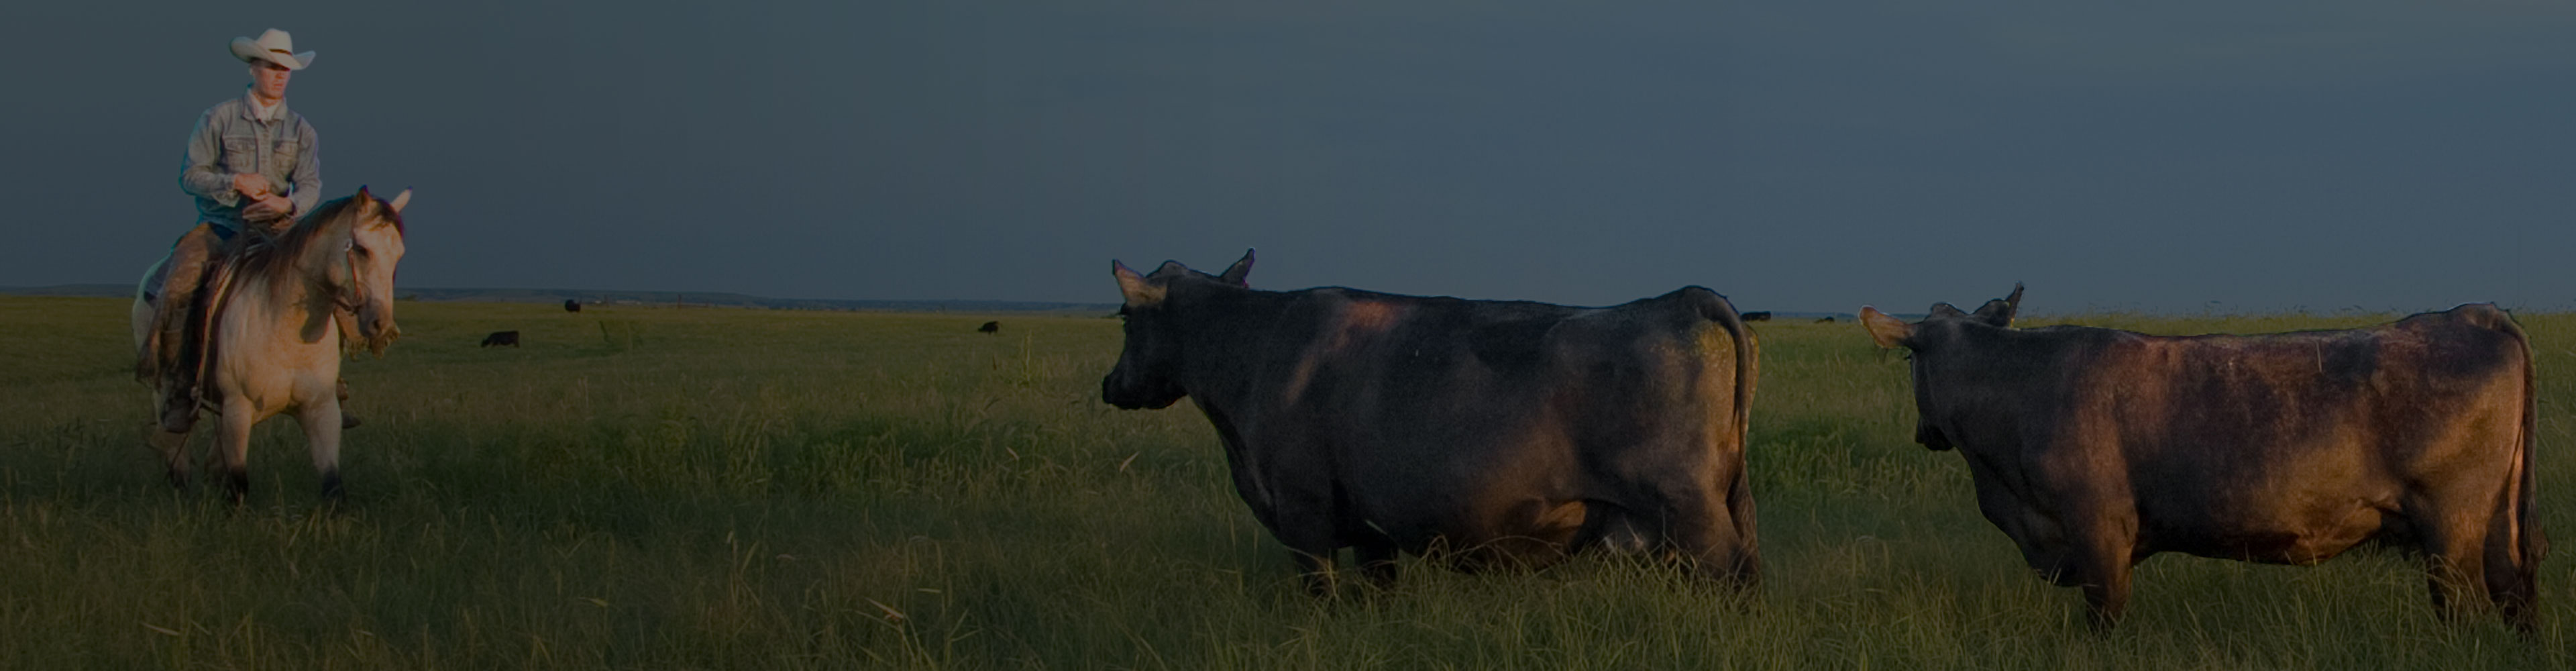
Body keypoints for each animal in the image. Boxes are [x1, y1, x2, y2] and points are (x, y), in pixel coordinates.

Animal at [1102, 250, 1760, 595]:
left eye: (1125, 317)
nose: (1111, 384)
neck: (1256, 348)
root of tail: (1679, 299)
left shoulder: (1303, 515)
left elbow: (1324, 596)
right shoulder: (1370, 528)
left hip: (1691, 510)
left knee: (1735, 577)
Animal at [1859, 285, 2542, 631]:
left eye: (1907, 357)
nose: (1924, 433)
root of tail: (2470, 314)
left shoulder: (2098, 530)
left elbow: (2104, 620)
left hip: (2451, 526)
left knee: (2465, 609)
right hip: (2494, 525)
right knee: (2514, 598)